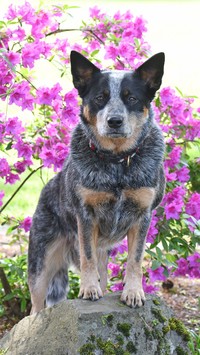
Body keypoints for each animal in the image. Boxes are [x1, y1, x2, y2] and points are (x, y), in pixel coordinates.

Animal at [28, 50, 166, 314]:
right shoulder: (86, 215)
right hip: (41, 260)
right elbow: (88, 257)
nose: (114, 120)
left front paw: (133, 292)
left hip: (103, 251)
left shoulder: (142, 215)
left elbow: (135, 260)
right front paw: (89, 289)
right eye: (100, 98)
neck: (117, 162)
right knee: (36, 305)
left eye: (131, 98)